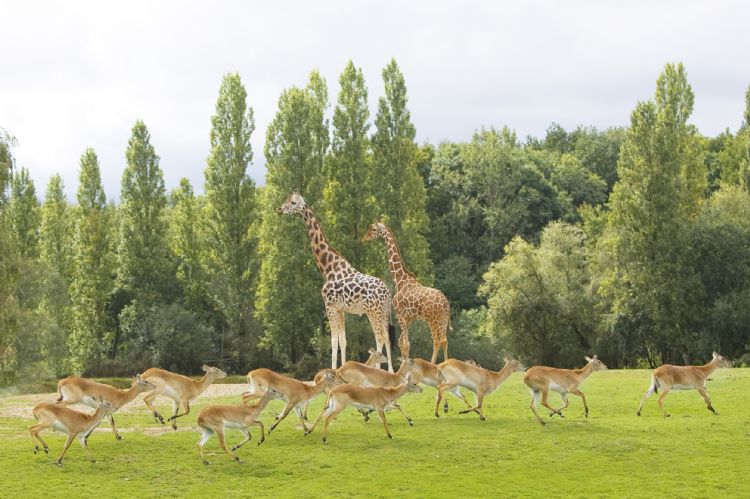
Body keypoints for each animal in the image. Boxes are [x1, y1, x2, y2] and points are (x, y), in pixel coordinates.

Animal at [276, 191, 394, 372]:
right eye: (287, 200)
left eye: (293, 202)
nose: (280, 209)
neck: (328, 267)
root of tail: (387, 292)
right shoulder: (340, 310)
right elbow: (343, 341)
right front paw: (342, 369)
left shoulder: (329, 306)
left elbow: (333, 341)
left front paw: (332, 370)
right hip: (384, 312)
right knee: (386, 337)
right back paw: (390, 372)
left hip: (372, 311)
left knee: (380, 337)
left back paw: (377, 371)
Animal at [366, 222, 452, 364]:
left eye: (373, 229)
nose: (365, 237)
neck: (400, 280)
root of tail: (446, 303)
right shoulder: (409, 318)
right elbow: (401, 342)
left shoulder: (399, 313)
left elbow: (405, 343)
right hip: (442, 320)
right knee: (444, 340)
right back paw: (446, 363)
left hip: (432, 320)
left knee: (437, 341)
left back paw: (433, 365)